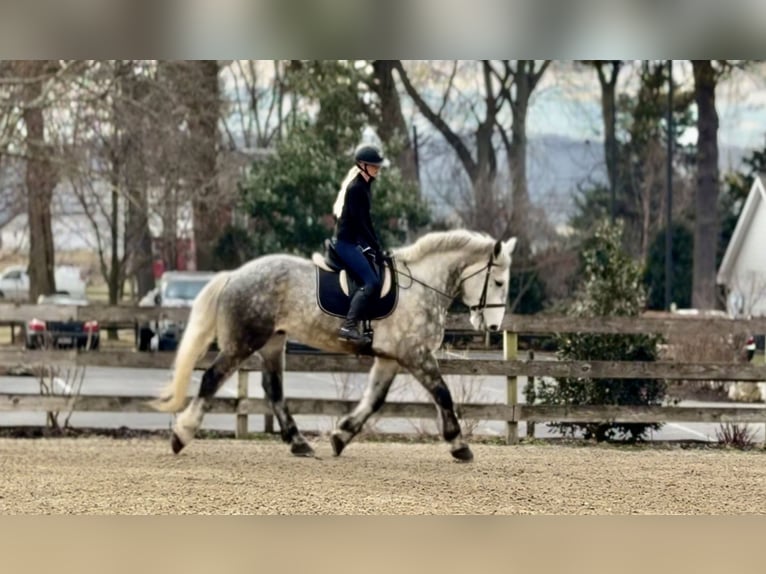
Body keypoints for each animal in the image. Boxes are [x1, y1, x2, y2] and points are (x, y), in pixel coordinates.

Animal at [151, 229, 517, 462]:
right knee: (213, 378)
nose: (493, 327)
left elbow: (374, 400)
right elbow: (442, 393)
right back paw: (181, 436)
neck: (422, 286)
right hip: (245, 340)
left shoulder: (391, 358)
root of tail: (234, 275)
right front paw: (459, 445)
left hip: (272, 342)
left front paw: (341, 436)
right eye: (499, 282)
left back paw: (299, 443)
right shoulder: (416, 355)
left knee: (273, 390)